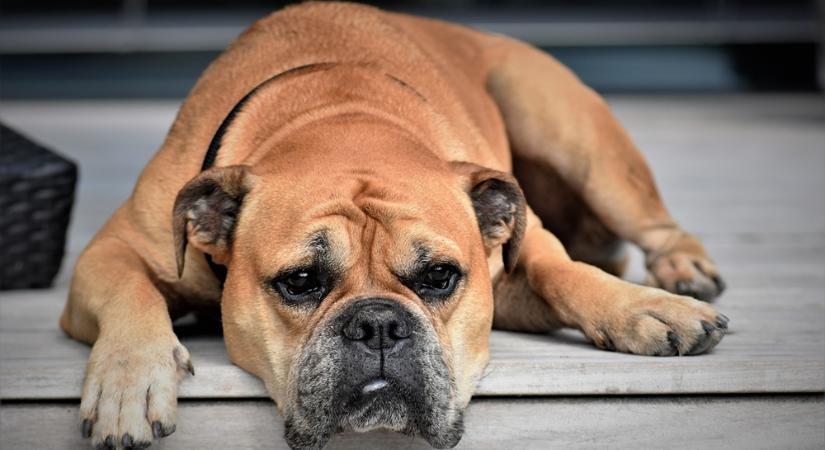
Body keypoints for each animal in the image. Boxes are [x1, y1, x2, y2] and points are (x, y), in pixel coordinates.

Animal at [59, 2, 728, 446]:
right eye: (299, 282)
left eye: (439, 277)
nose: (378, 324)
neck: (340, 118)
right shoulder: (109, 252)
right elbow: (130, 292)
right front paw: (128, 382)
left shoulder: (521, 254)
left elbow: (564, 272)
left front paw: (645, 308)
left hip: (574, 135)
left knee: (650, 225)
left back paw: (682, 271)